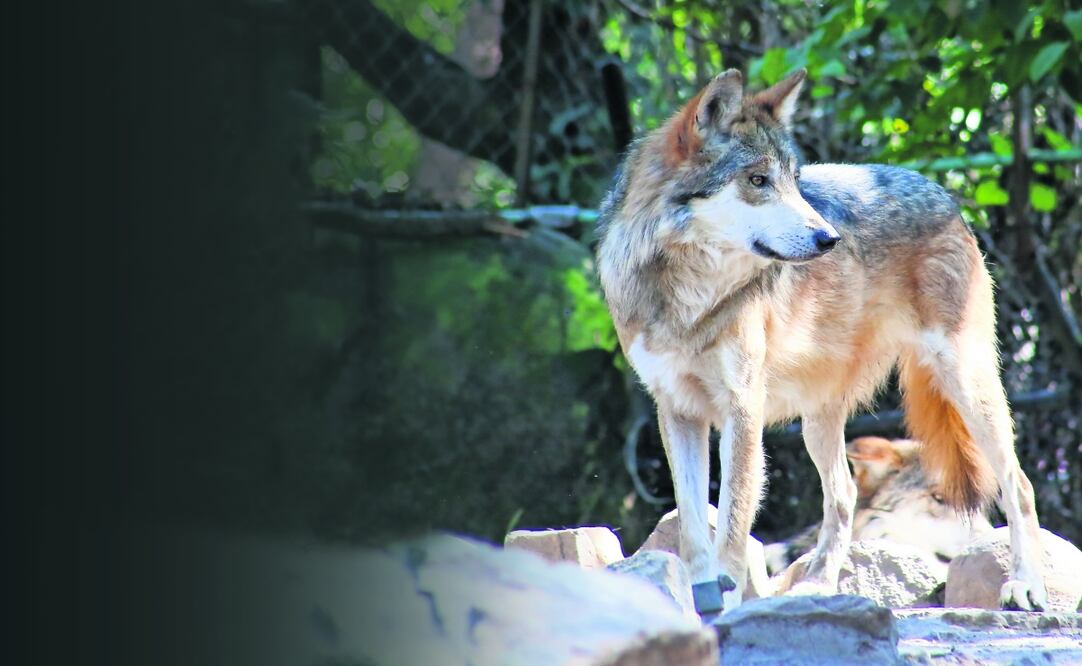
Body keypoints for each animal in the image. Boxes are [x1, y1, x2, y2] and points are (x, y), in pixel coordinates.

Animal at [596, 68, 1047, 611]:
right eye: (758, 181)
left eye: (794, 182)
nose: (829, 238)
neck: (687, 296)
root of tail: (942, 192)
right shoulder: (678, 411)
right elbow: (692, 531)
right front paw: (702, 604)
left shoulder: (741, 413)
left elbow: (732, 531)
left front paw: (727, 606)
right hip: (818, 421)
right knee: (845, 495)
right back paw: (817, 586)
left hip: (965, 383)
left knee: (1019, 484)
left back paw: (1026, 585)